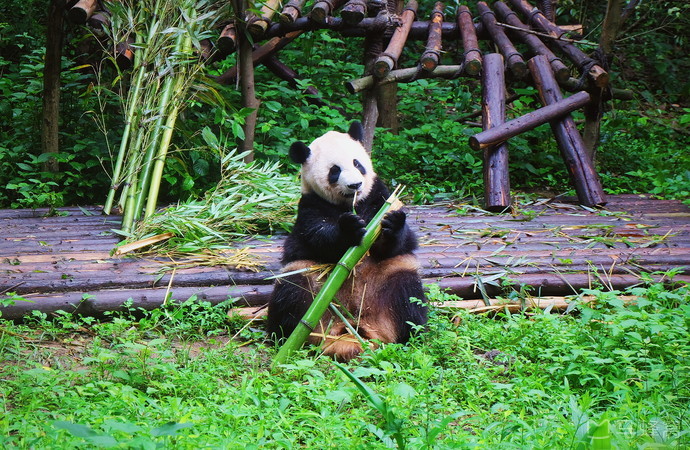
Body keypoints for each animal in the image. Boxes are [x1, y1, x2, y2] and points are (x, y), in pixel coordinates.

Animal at [268, 121, 424, 360]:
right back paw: (286, 337)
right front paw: (350, 228)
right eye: (335, 170)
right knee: (291, 293)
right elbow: (318, 237)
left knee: (408, 296)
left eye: (357, 163)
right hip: (307, 279)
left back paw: (410, 336)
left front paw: (392, 223)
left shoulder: (378, 195)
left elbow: (398, 242)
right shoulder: (311, 205)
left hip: (391, 276)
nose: (355, 185)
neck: (352, 203)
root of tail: (350, 328)